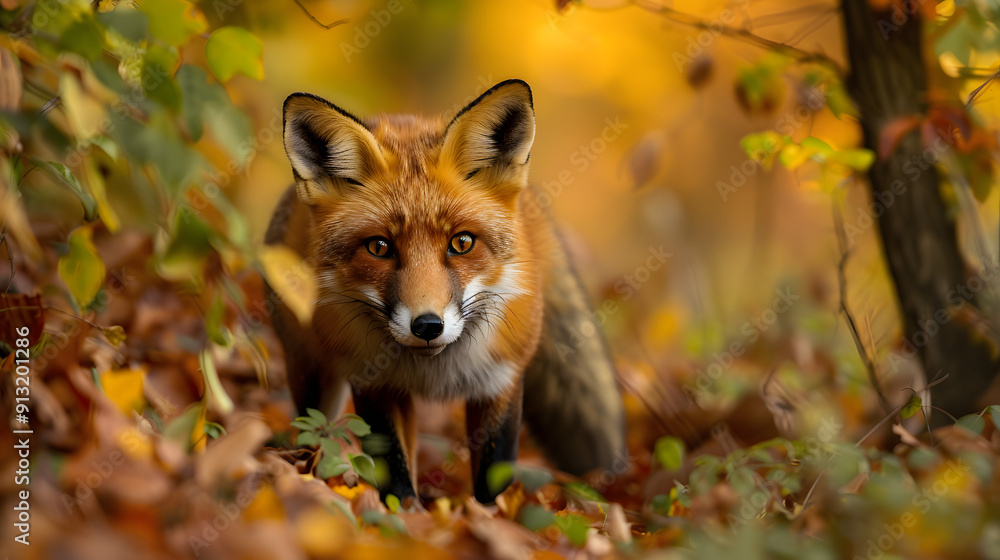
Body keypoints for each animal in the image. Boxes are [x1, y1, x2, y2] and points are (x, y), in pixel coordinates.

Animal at [264, 79, 625, 504]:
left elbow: (493, 476)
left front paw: (489, 515)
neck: (435, 372)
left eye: (462, 243)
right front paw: (406, 515)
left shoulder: (501, 382)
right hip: (312, 373)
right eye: (379, 247)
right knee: (314, 431)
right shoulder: (373, 383)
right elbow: (395, 475)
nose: (427, 326)